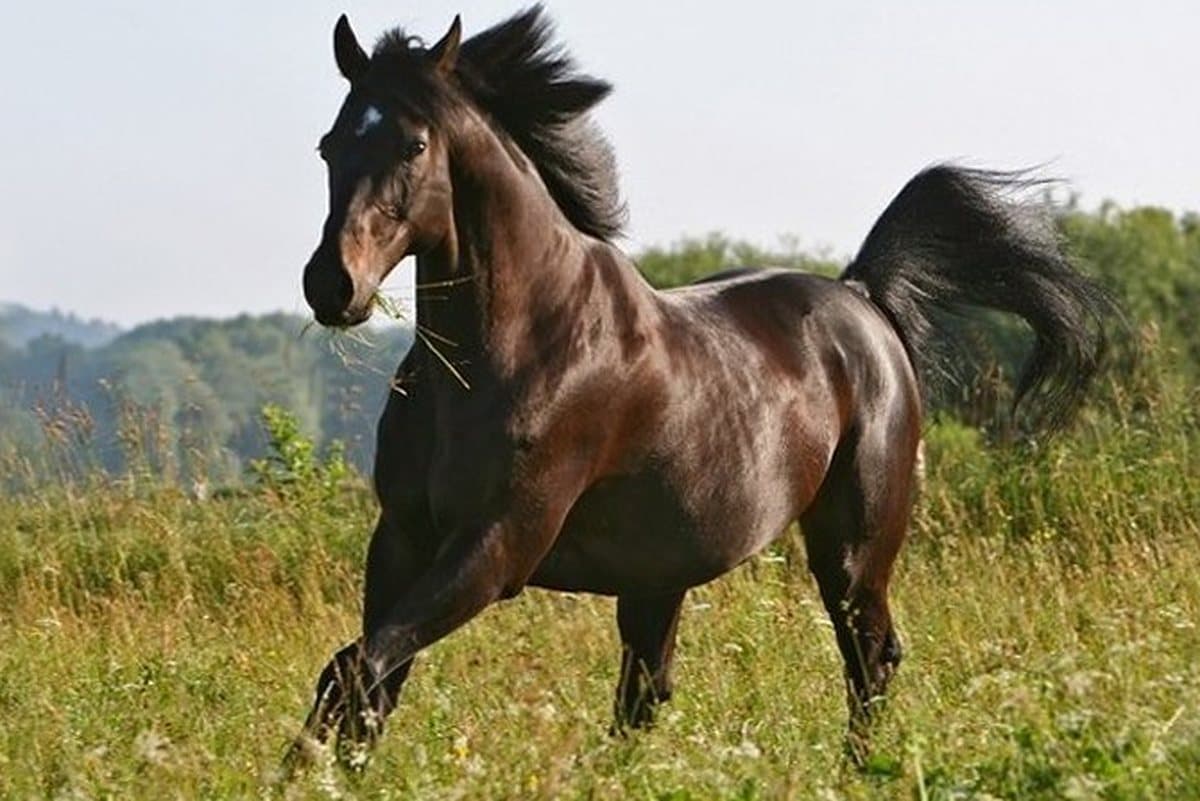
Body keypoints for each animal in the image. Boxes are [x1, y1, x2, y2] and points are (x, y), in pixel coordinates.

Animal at [290, 7, 1113, 769]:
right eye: (329, 145)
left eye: (414, 144)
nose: (332, 286)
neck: (505, 354)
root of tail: (862, 296)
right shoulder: (403, 539)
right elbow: (371, 679)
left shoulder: (498, 545)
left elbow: (356, 666)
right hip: (659, 577)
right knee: (646, 693)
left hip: (853, 548)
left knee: (868, 657)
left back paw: (863, 768)